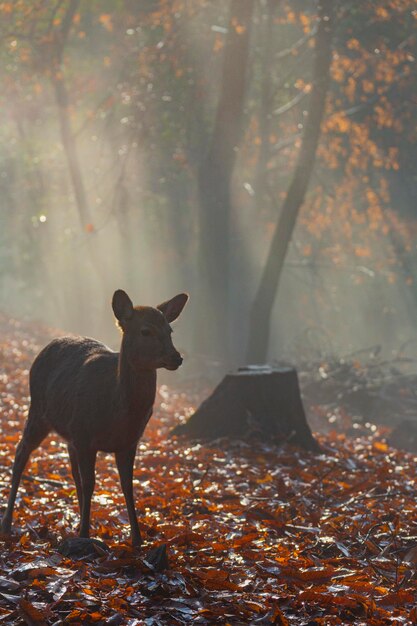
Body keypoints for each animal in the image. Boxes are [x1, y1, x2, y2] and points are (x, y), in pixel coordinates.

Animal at [0, 290, 188, 544]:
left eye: (170, 330)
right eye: (145, 331)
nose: (176, 357)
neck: (118, 410)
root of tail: (46, 346)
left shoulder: (129, 441)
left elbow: (127, 485)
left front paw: (137, 539)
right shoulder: (85, 436)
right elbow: (91, 483)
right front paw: (85, 535)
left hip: (68, 429)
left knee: (73, 472)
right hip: (38, 410)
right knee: (21, 453)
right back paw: (7, 523)